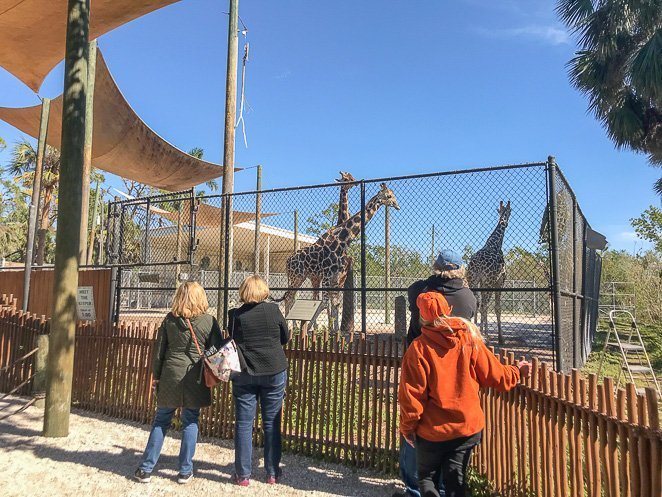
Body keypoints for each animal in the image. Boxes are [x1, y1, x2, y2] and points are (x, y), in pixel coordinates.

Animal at [278, 182, 400, 330]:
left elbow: (335, 303)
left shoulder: (335, 276)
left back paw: (293, 326)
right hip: (296, 276)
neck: (341, 241)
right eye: (389, 196)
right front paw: (310, 328)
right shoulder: (326, 274)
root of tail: (287, 261)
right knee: (289, 297)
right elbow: (324, 302)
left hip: (300, 277)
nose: (397, 206)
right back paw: (292, 326)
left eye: (393, 195)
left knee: (290, 297)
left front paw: (335, 331)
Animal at [466, 200, 512, 342]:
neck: (495, 244)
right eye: (510, 211)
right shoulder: (499, 281)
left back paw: (476, 331)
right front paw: (500, 337)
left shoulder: (482, 282)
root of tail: (477, 264)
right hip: (489, 282)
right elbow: (497, 308)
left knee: (477, 303)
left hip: (473, 281)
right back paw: (485, 335)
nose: (506, 222)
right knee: (484, 305)